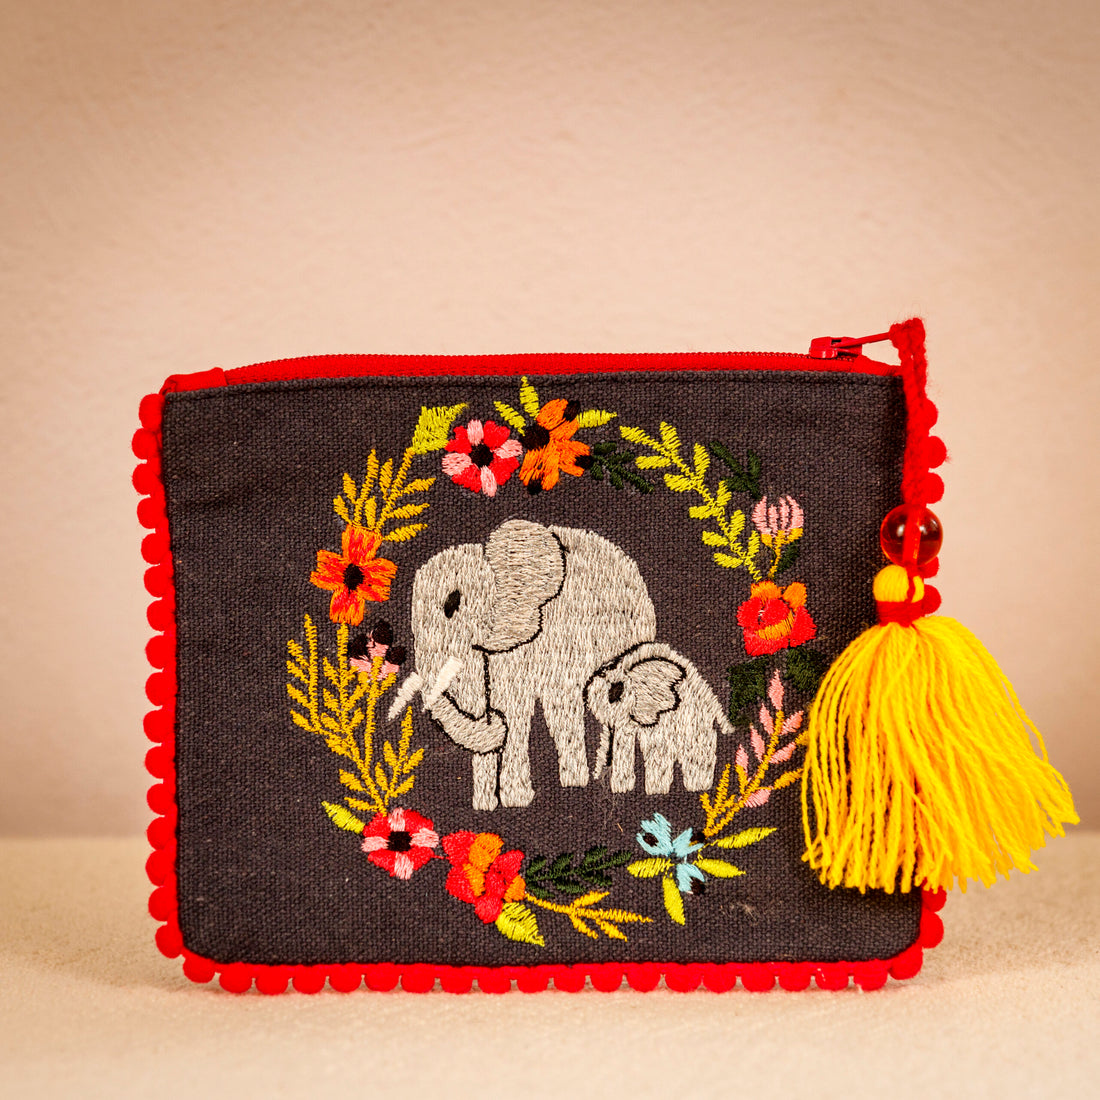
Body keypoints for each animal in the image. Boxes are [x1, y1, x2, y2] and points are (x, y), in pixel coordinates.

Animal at [403, 519, 658, 809]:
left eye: (452, 603)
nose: (494, 720)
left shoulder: (529, 644)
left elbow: (516, 708)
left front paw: (515, 800)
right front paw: (486, 803)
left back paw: (593, 783)